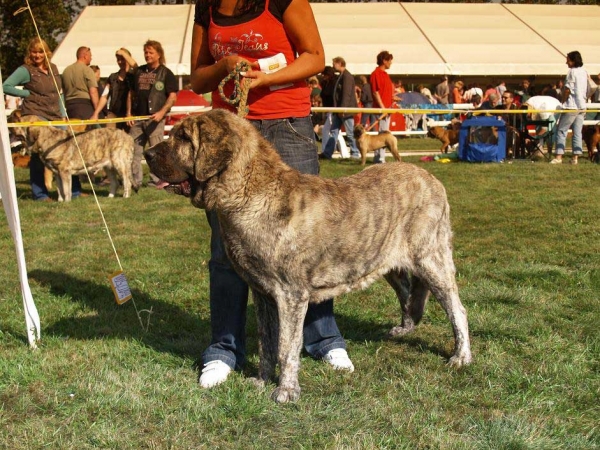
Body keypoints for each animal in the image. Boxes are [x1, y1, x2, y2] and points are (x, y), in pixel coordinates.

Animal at [146, 110, 474, 404]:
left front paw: (286, 391)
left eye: (183, 137)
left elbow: (286, 346)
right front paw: (261, 380)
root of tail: (432, 179)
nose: (147, 152)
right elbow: (267, 343)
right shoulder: (262, 293)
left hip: (431, 260)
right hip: (384, 259)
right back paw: (405, 328)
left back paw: (461, 356)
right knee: (408, 294)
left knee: (456, 309)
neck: (250, 192)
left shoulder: (290, 295)